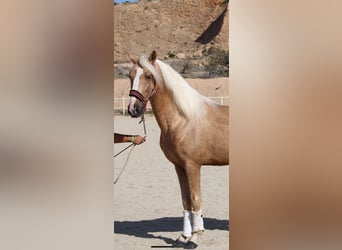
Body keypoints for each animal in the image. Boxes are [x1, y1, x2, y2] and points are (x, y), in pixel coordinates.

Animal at [127, 50, 228, 248]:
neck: (183, 120)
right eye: (130, 76)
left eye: (148, 76)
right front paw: (183, 237)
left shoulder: (193, 165)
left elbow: (196, 200)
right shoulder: (179, 166)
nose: (133, 109)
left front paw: (194, 239)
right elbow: (185, 201)